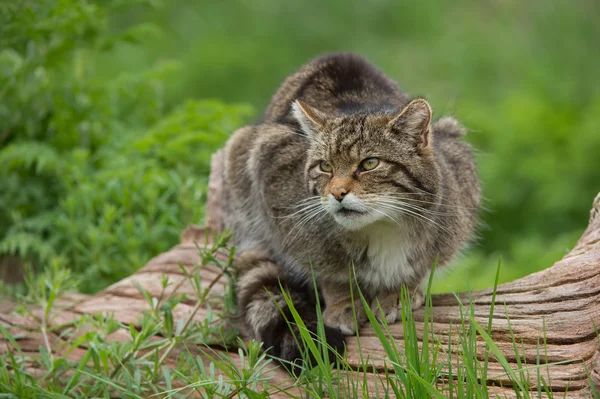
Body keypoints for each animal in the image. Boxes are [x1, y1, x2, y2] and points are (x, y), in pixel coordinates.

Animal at [223, 53, 480, 368]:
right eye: (325, 166)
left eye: (369, 163)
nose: (337, 192)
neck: (382, 227)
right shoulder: (278, 192)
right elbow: (331, 273)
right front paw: (343, 303)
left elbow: (419, 265)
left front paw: (400, 291)